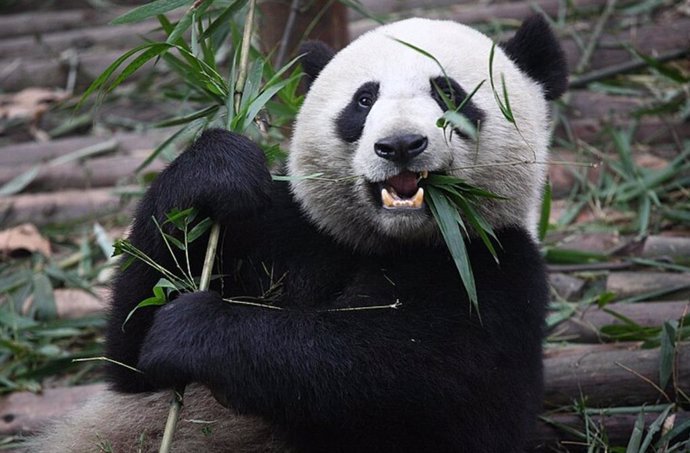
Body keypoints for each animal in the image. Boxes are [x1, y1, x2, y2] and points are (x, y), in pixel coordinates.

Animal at [32, 14, 564, 452]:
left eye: (449, 93)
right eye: (364, 99)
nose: (399, 145)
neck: (388, 242)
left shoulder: (495, 274)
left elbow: (389, 369)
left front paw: (194, 329)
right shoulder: (287, 229)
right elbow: (133, 359)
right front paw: (216, 170)